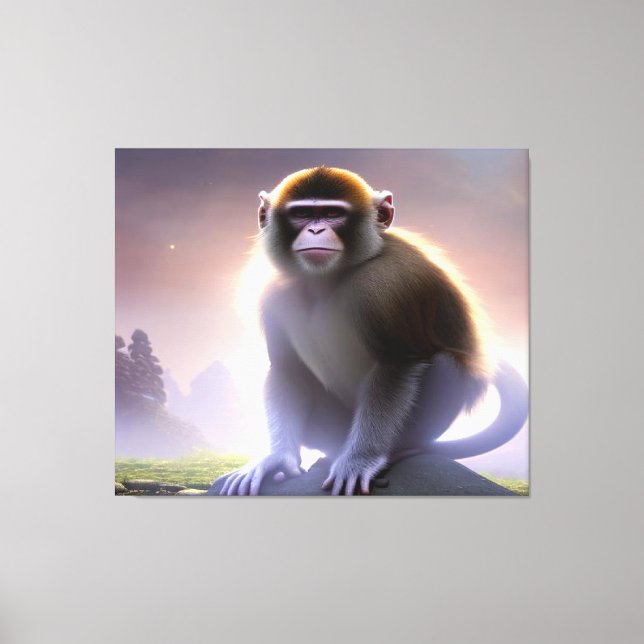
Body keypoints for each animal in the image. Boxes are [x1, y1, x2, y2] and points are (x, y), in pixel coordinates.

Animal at [220, 166, 528, 496]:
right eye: (302, 213)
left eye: (332, 213)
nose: (315, 231)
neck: (329, 279)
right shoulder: (274, 292)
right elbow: (288, 370)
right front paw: (277, 458)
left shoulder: (382, 284)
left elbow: (396, 364)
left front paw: (360, 460)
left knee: (445, 363)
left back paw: (397, 450)